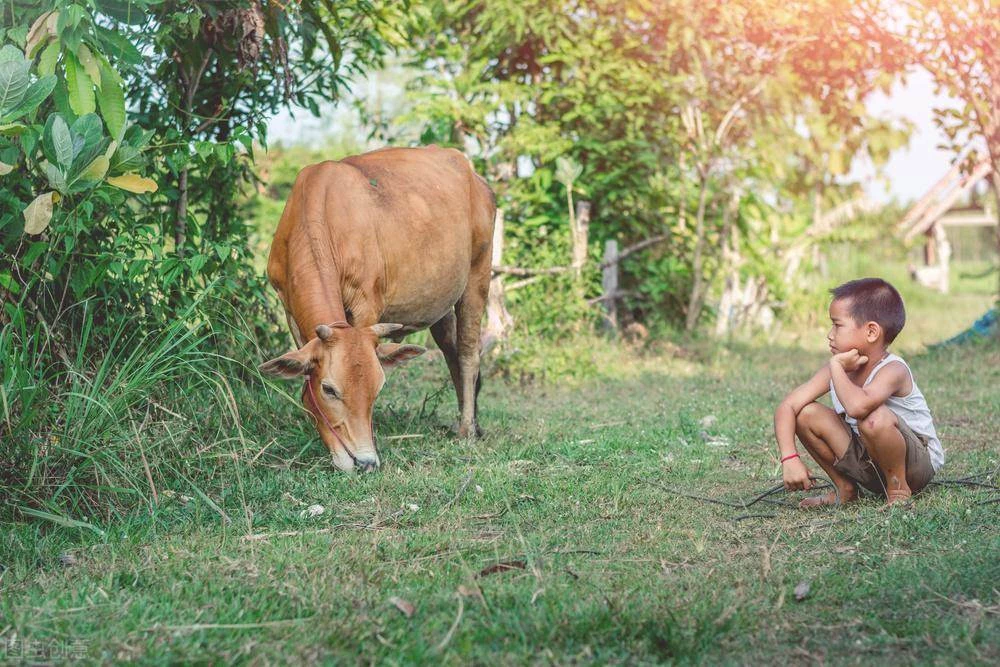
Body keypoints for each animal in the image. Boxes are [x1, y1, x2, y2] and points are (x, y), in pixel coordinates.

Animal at [258, 146, 492, 472]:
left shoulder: (366, 304)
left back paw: (467, 429)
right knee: (452, 352)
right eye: (328, 389)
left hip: (477, 276)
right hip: (441, 305)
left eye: (378, 388)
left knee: (469, 353)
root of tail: (474, 176)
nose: (365, 462)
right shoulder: (288, 307)